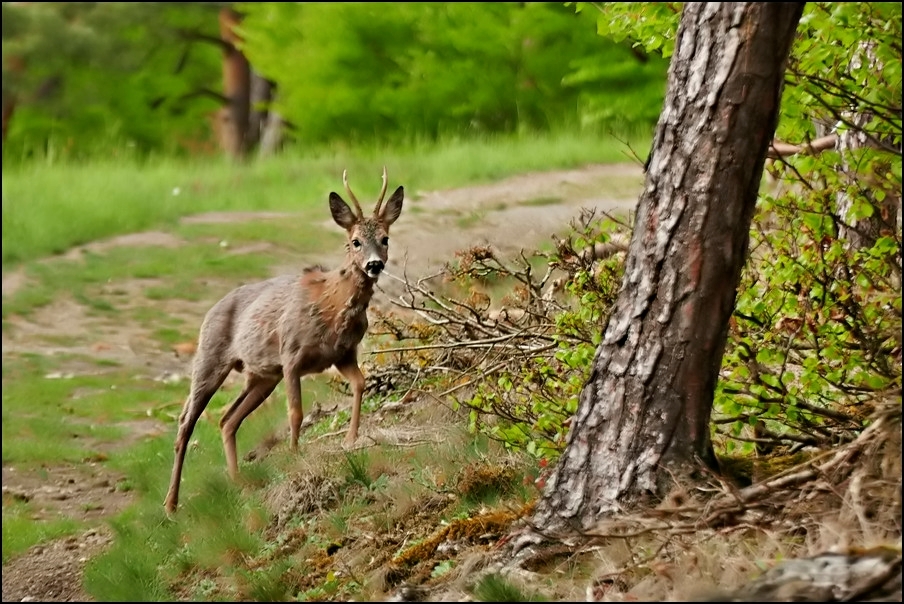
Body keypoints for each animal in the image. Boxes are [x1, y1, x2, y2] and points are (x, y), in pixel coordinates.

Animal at [162, 168, 402, 512]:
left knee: (227, 419)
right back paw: (170, 505)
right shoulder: (291, 355)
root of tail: (210, 311)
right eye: (354, 241)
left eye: (385, 239)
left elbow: (360, 383)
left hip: (262, 375)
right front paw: (294, 454)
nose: (374, 264)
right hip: (210, 356)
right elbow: (295, 412)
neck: (332, 305)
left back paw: (238, 482)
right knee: (186, 421)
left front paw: (350, 438)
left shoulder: (343, 353)